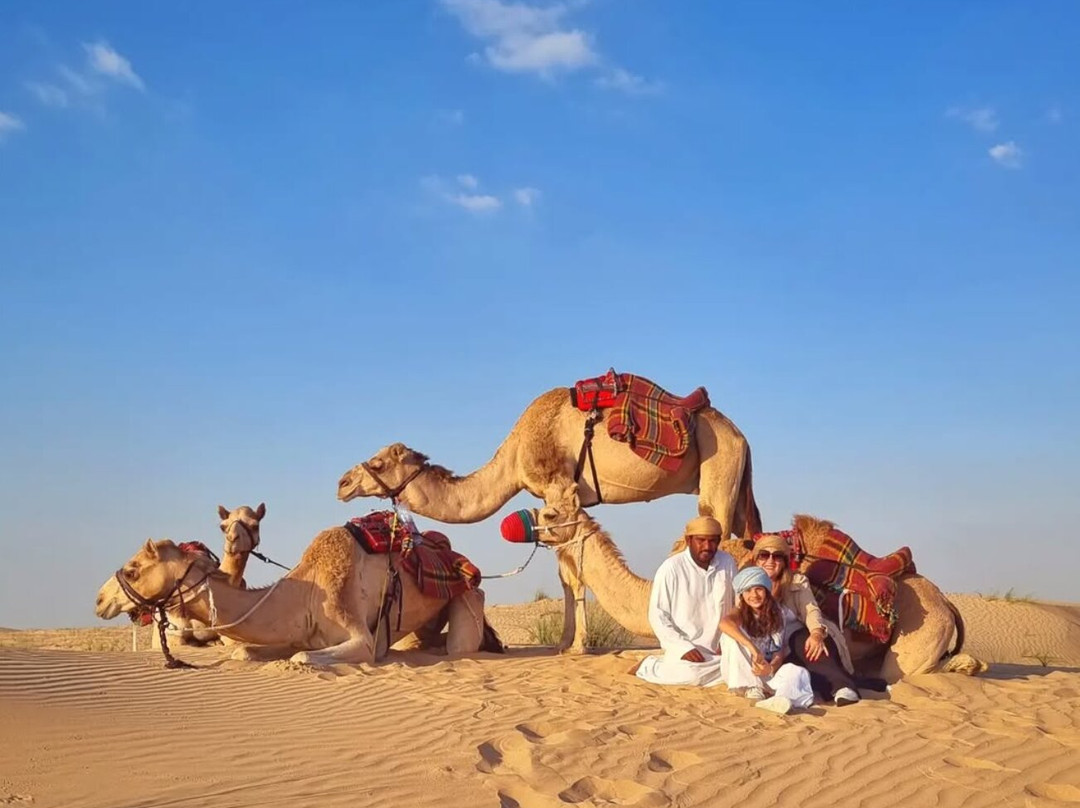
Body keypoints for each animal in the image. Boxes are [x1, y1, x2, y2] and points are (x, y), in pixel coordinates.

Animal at [97, 524, 503, 666]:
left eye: (133, 569)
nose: (99, 600)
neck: (306, 593)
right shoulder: (297, 632)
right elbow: (246, 650)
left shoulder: (360, 636)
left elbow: (303, 658)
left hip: (469, 597)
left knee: (458, 644)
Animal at [336, 386, 762, 540]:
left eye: (377, 462)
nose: (342, 483)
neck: (513, 458)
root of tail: (741, 436)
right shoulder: (549, 498)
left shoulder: (561, 489)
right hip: (734, 481)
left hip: (719, 470)